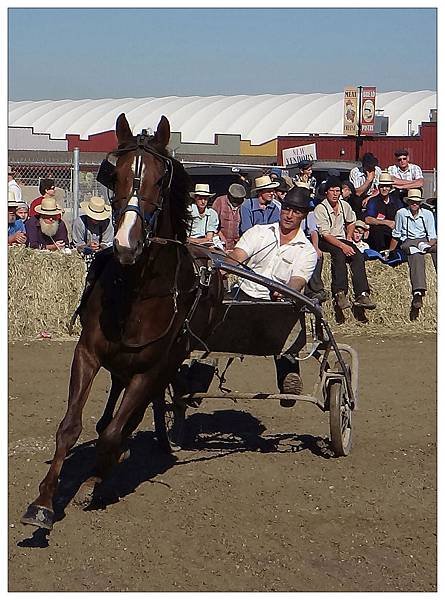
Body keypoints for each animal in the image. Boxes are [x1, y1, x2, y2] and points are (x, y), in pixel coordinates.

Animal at [21, 112, 222, 528]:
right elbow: (70, 426)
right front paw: (44, 502)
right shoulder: (88, 352)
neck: (137, 292)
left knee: (143, 408)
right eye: (114, 175)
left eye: (161, 179)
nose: (127, 243)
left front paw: (95, 479)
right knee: (118, 393)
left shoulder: (152, 367)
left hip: (169, 361)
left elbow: (116, 433)